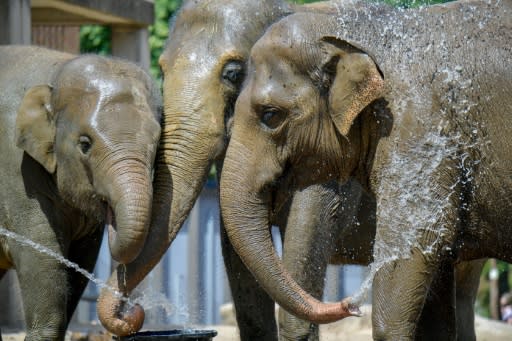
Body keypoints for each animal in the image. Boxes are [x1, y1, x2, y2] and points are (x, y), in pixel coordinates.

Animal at [0, 45, 161, 340]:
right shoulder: (14, 169)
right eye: (85, 144)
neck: (56, 69)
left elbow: (81, 258)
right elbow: (41, 250)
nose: (129, 309)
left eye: (156, 146)